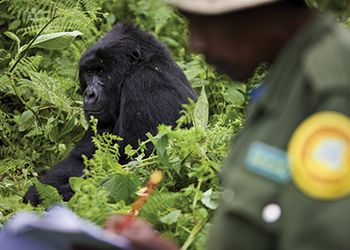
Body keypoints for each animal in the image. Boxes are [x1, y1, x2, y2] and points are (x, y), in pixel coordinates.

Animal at [22, 22, 197, 205]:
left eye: (101, 72)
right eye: (89, 73)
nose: (89, 94)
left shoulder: (144, 84)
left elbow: (139, 175)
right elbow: (80, 161)